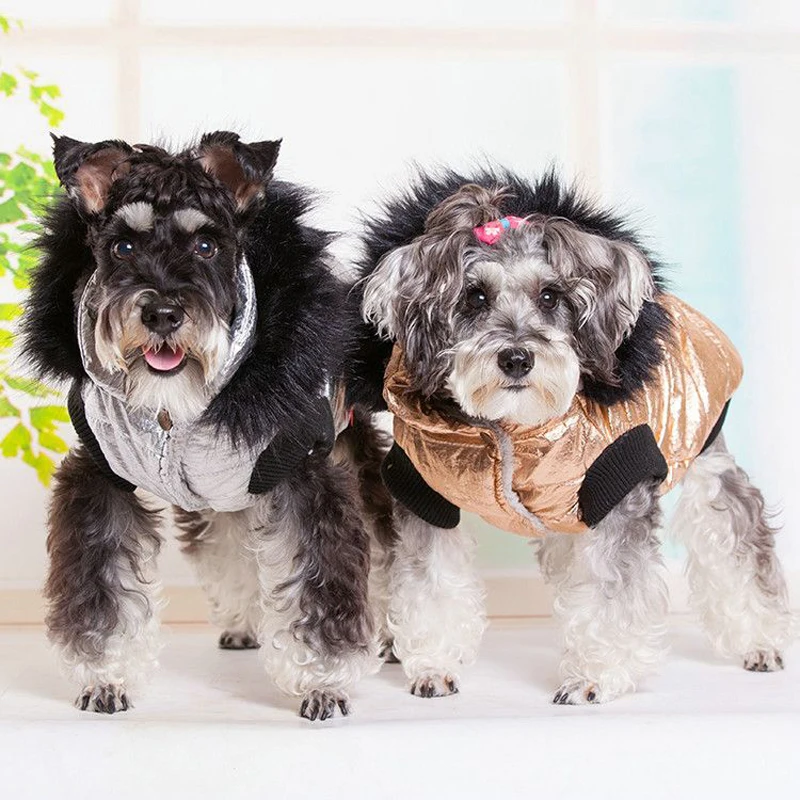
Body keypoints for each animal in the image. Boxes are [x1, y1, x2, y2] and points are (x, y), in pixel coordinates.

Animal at [356, 167, 792, 700]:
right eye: (475, 296)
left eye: (550, 296)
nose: (516, 358)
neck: (512, 430)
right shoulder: (425, 497)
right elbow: (430, 583)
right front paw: (434, 666)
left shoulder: (617, 494)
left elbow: (610, 593)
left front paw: (595, 674)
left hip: (708, 459)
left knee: (737, 543)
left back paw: (761, 641)